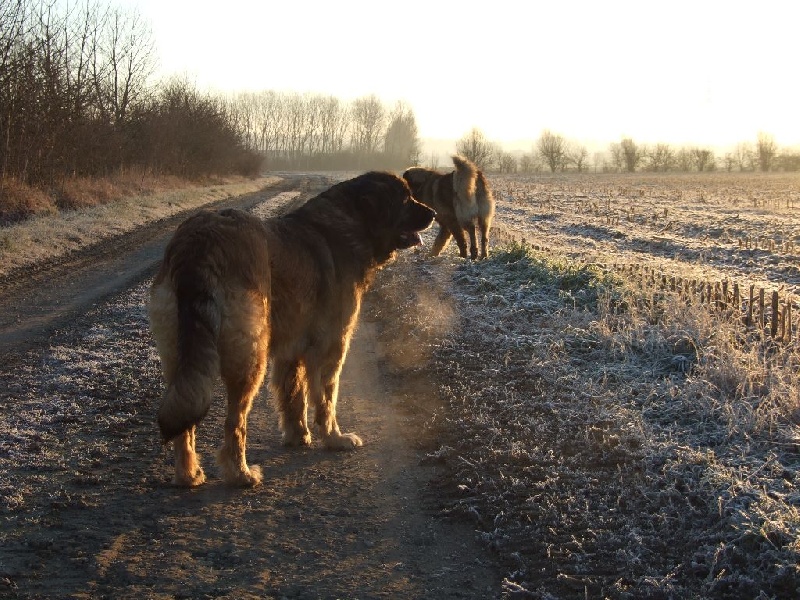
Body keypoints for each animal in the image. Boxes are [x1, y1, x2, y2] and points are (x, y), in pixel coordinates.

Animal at [147, 171, 434, 486]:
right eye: (406, 200)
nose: (433, 213)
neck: (353, 222)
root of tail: (200, 242)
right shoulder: (332, 346)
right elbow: (326, 399)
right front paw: (334, 438)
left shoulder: (292, 350)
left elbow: (293, 394)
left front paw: (298, 435)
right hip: (251, 357)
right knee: (234, 422)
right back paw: (240, 473)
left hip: (181, 357)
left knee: (185, 421)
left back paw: (189, 474)